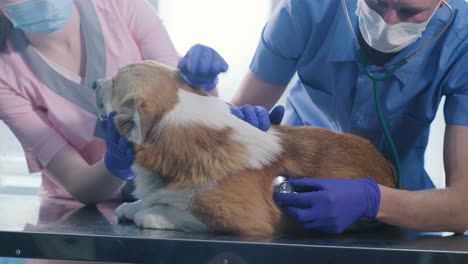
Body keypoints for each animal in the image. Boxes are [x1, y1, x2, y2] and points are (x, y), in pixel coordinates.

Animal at [94, 61, 394, 235]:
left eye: (115, 81)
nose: (96, 81)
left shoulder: (245, 218)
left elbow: (181, 212)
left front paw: (150, 213)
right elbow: (152, 198)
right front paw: (133, 206)